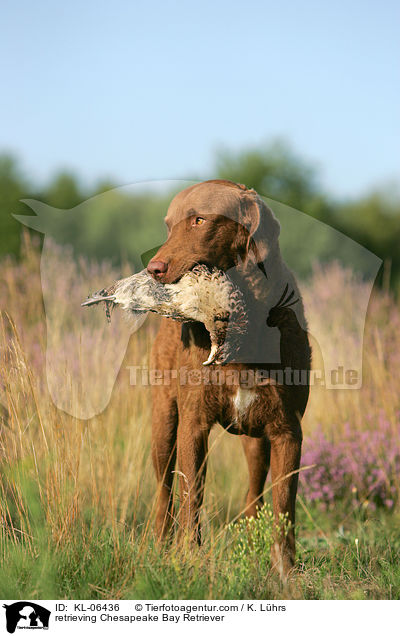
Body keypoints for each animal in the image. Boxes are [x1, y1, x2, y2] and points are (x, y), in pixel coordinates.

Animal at [148, 178, 312, 576]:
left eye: (199, 220)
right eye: (168, 225)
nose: (153, 269)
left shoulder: (288, 431)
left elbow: (284, 505)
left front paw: (285, 573)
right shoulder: (193, 424)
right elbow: (192, 497)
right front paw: (188, 560)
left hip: (257, 441)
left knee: (254, 494)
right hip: (163, 422)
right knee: (164, 492)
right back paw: (159, 547)